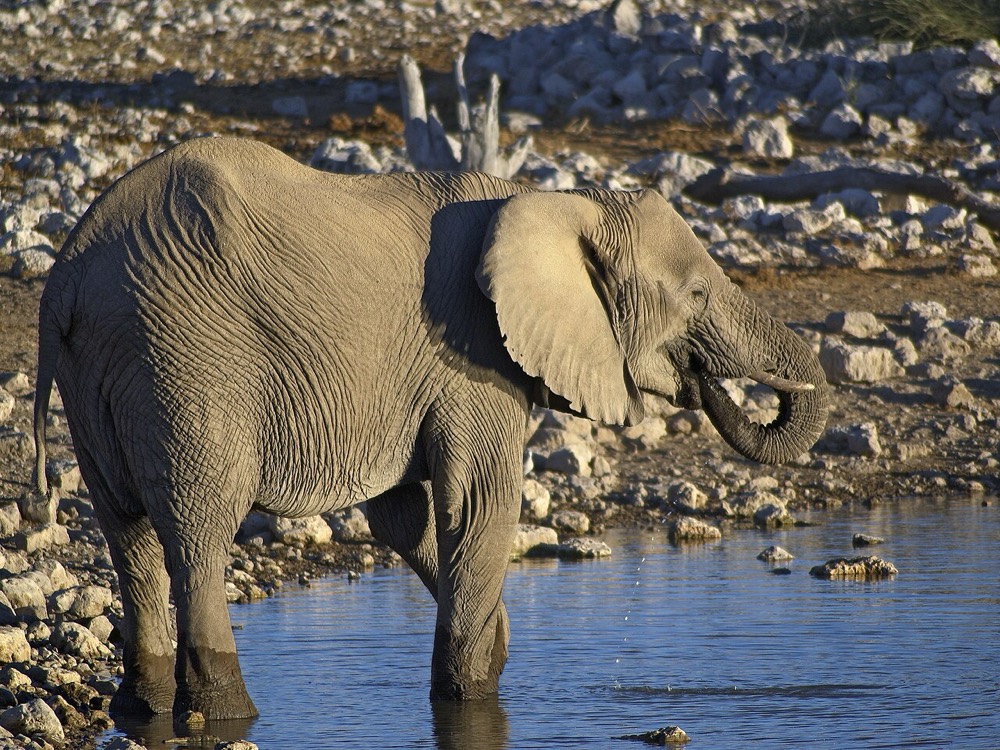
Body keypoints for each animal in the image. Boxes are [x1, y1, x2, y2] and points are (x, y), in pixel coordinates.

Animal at [32, 137, 828, 720]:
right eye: (694, 296)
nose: (706, 381)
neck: (556, 202)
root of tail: (65, 279)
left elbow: (401, 516)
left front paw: (495, 640)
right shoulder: (473, 356)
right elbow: (480, 502)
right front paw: (470, 690)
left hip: (108, 372)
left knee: (128, 534)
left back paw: (140, 710)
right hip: (187, 360)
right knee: (199, 533)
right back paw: (231, 714)